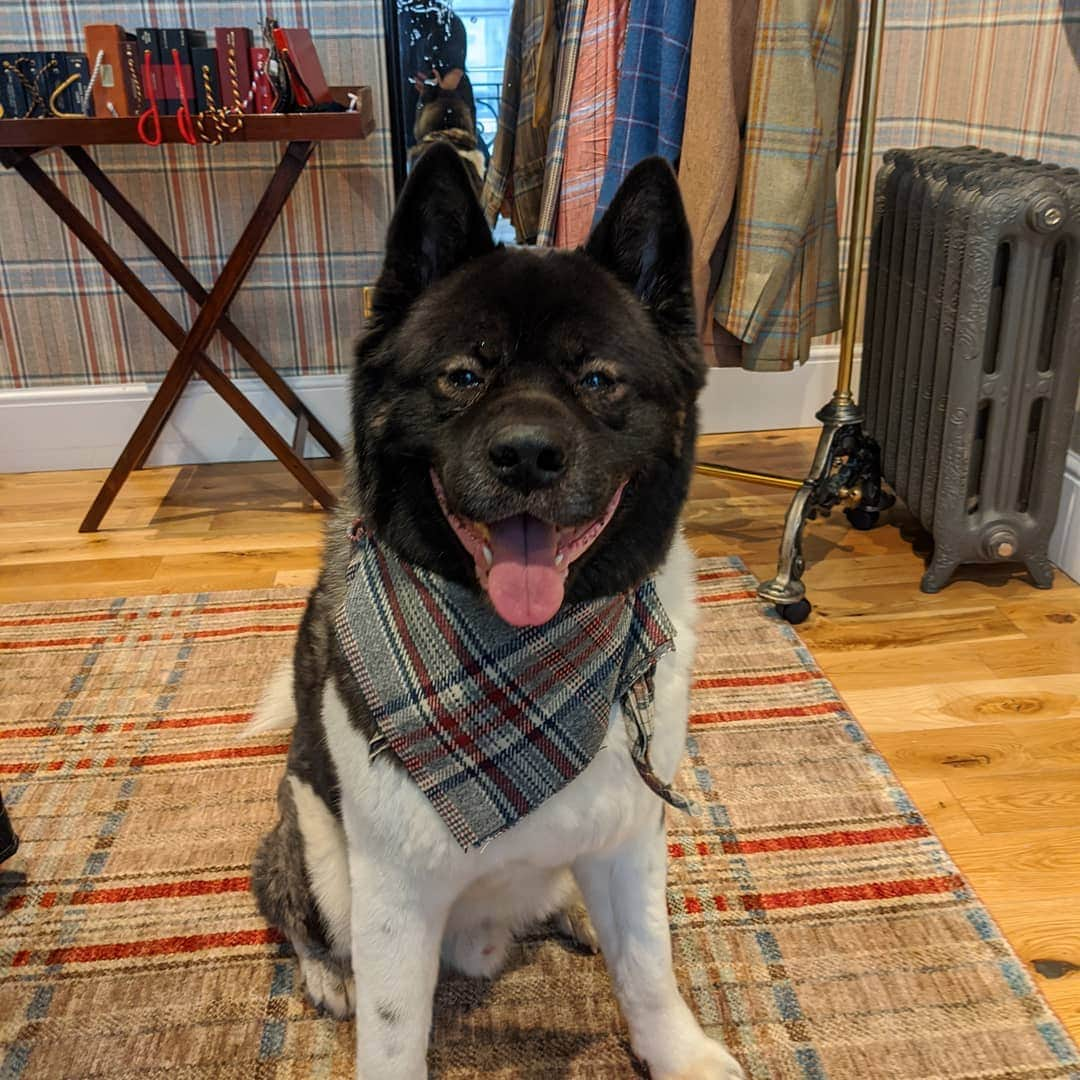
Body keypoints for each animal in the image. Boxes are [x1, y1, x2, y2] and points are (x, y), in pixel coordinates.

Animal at [249, 143, 747, 1080]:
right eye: (464, 375)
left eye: (598, 379)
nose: (526, 455)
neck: (530, 661)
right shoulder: (395, 892)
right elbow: (394, 1034)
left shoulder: (629, 843)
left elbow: (649, 965)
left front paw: (678, 1052)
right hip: (319, 851)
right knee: (288, 900)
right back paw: (328, 974)